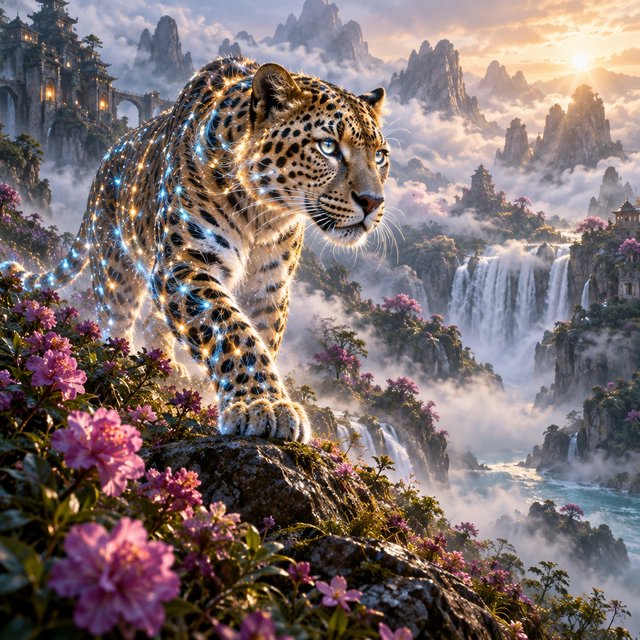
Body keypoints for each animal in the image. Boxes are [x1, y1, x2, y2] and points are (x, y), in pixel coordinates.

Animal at [3, 57, 390, 442]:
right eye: (328, 146)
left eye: (380, 156)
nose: (373, 202)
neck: (265, 214)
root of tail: (102, 168)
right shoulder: (184, 263)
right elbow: (232, 331)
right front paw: (262, 404)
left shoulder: (269, 286)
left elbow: (260, 337)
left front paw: (243, 397)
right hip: (116, 268)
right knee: (117, 316)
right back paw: (121, 363)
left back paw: (166, 364)